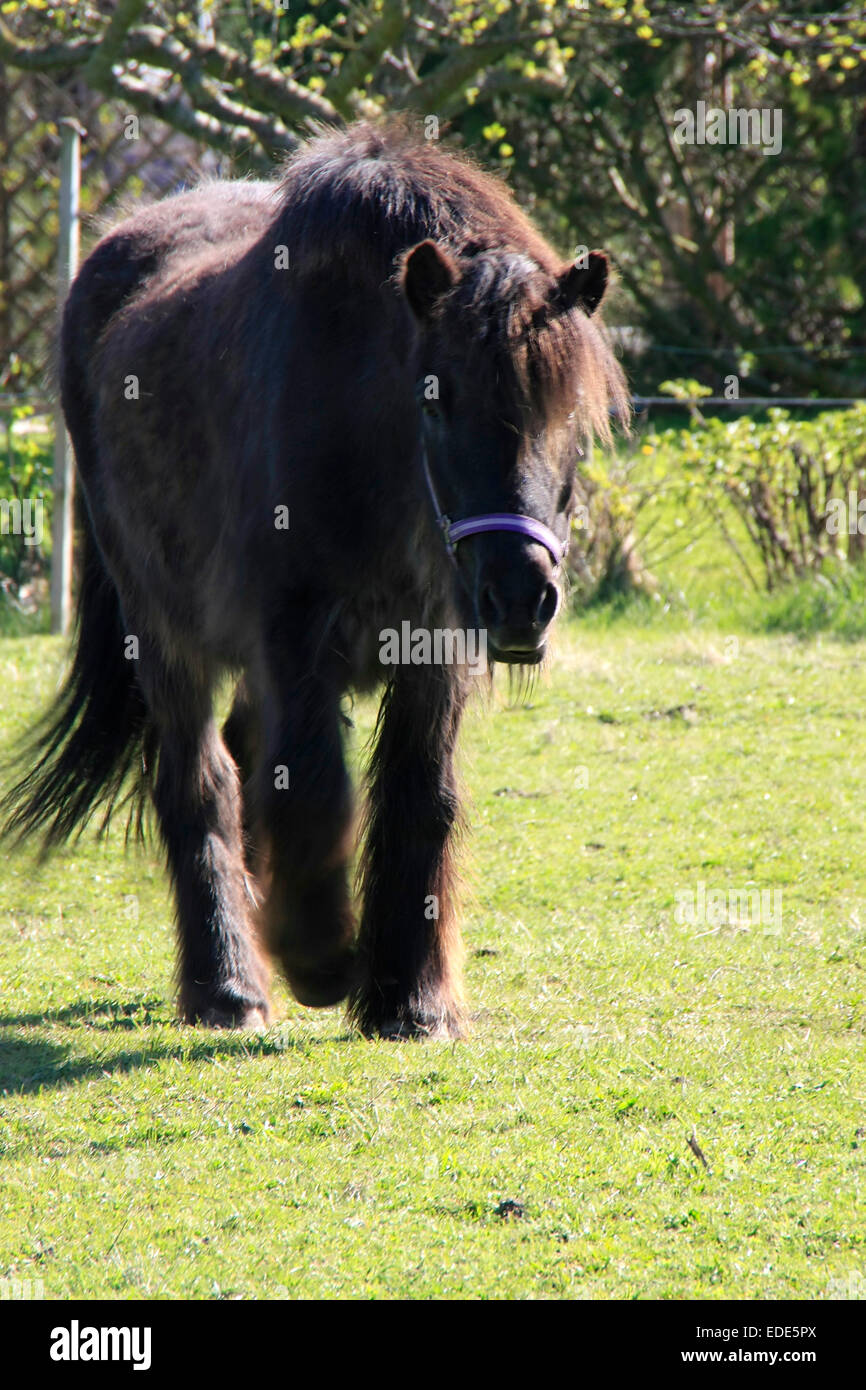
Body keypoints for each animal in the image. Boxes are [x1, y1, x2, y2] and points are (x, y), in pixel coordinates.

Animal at [2, 119, 628, 1038]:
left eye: (571, 415)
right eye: (434, 400)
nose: (522, 599)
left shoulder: (434, 649)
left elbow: (419, 795)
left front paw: (412, 1000)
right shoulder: (293, 635)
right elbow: (316, 793)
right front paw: (323, 958)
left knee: (243, 753)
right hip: (162, 630)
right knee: (201, 779)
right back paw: (228, 984)